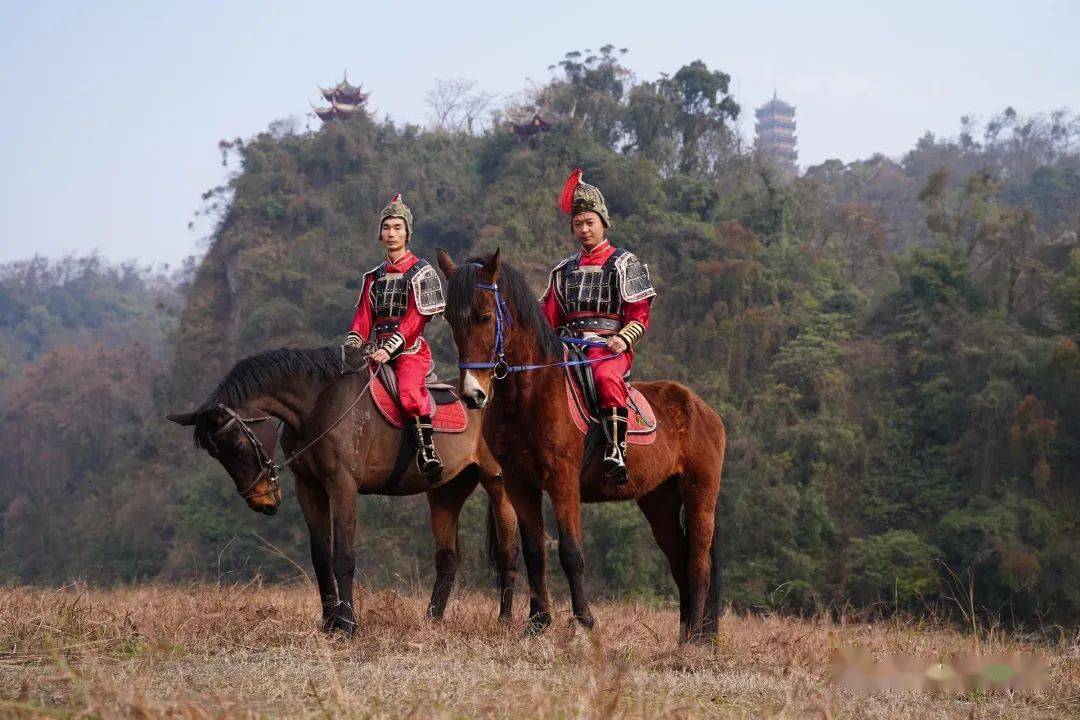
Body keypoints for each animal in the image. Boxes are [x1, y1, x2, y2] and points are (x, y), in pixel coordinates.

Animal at [166, 345, 520, 634]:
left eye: (238, 444)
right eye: (216, 454)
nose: (261, 500)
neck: (317, 406)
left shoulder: (342, 486)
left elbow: (343, 556)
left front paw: (348, 623)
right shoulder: (309, 488)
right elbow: (321, 557)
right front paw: (329, 622)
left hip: (498, 483)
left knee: (507, 551)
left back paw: (504, 620)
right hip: (446, 490)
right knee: (447, 558)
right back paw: (431, 621)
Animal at [436, 250, 725, 643]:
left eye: (484, 316)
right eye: (451, 319)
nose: (472, 394)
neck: (531, 393)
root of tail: (704, 410)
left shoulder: (563, 482)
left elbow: (571, 552)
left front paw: (585, 621)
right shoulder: (519, 484)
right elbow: (534, 552)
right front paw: (538, 621)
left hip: (701, 494)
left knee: (697, 563)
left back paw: (695, 640)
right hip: (659, 500)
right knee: (679, 561)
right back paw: (684, 637)